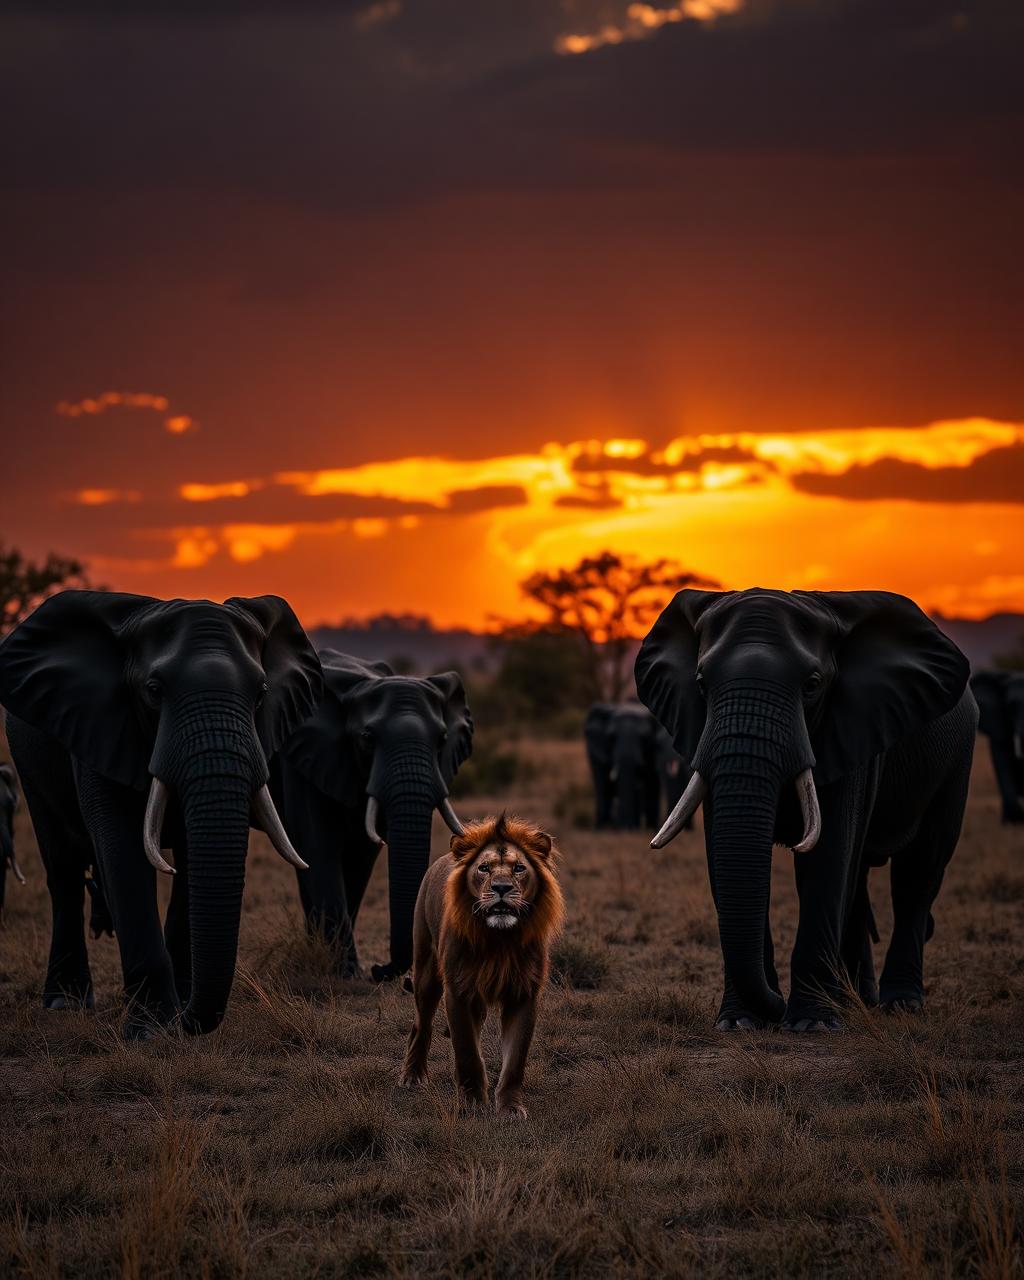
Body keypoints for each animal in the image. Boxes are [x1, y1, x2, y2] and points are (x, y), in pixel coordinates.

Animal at [0, 590, 322, 1036]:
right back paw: (64, 1002)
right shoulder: (101, 724)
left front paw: (179, 1008)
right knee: (62, 867)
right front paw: (153, 1030)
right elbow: (121, 850)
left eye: (260, 694)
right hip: (28, 762)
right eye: (153, 690)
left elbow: (191, 860)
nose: (187, 1022)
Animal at [270, 650, 473, 981]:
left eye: (442, 739)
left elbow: (359, 856)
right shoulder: (304, 757)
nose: (379, 970)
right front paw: (345, 972)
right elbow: (319, 846)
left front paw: (346, 968)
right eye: (367, 737)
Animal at [400, 813, 564, 1118]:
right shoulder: (458, 991)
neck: (499, 939)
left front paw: (511, 1108)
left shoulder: (524, 995)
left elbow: (515, 1061)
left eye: (519, 868)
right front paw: (473, 1102)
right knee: (421, 1023)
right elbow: (467, 1051)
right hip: (426, 970)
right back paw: (412, 1076)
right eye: (484, 868)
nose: (501, 888)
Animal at [584, 702, 689, 831]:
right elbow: (603, 781)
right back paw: (603, 828)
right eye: (611, 737)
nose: (625, 828)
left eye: (643, 737)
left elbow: (649, 781)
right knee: (601, 784)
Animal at [635, 588, 976, 1032]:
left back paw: (898, 1005)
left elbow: (827, 858)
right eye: (701, 684)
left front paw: (811, 1026)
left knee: (918, 874)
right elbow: (722, 853)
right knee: (860, 881)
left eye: (812, 686)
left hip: (957, 759)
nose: (776, 1006)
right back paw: (855, 1002)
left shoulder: (852, 726)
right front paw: (739, 1024)